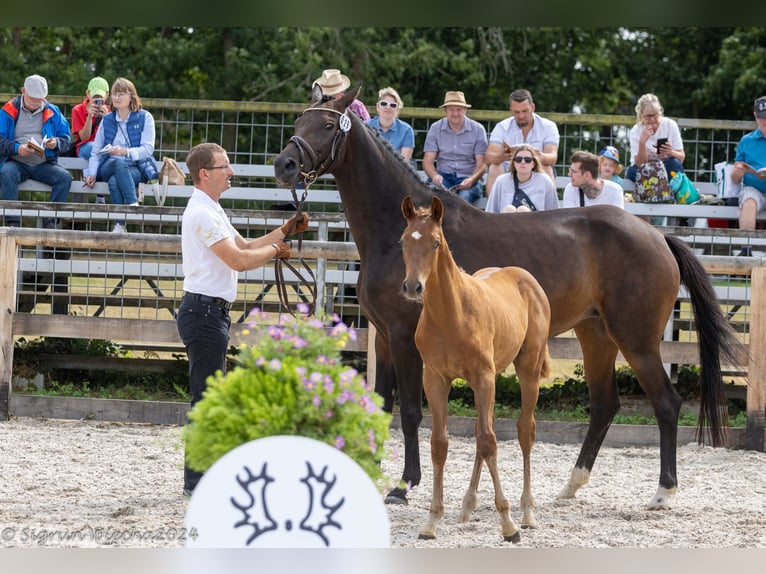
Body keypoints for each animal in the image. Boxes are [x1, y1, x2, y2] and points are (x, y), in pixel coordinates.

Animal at [274, 84, 744, 508]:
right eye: (298, 121)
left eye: (327, 125)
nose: (285, 163)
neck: (398, 233)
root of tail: (658, 236)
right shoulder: (386, 338)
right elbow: (380, 407)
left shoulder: (406, 338)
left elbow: (409, 412)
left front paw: (404, 486)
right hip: (596, 334)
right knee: (604, 404)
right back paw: (570, 487)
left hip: (638, 340)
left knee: (666, 403)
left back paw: (663, 492)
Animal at [402, 195, 552, 544]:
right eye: (403, 241)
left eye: (435, 242)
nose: (413, 287)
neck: (451, 314)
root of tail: (525, 278)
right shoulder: (435, 380)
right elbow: (441, 444)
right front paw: (432, 521)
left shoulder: (483, 378)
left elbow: (488, 441)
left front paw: (508, 524)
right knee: (486, 428)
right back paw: (468, 505)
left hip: (527, 369)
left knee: (524, 430)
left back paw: (527, 513)